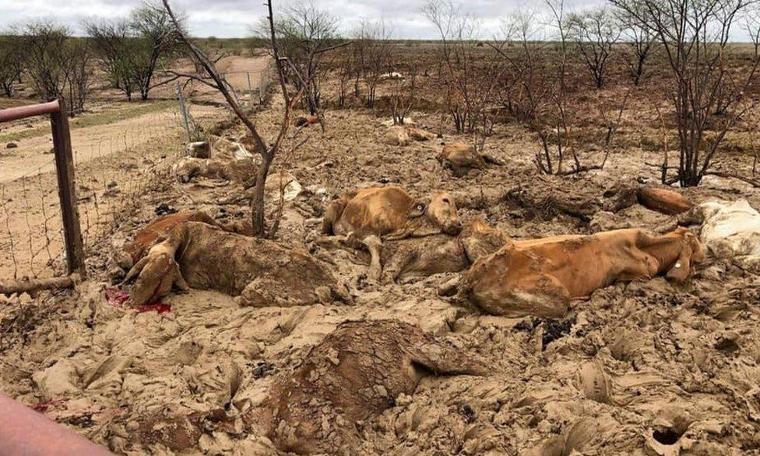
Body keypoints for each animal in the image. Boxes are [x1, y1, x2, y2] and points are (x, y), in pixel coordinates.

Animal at [320, 186, 464, 280]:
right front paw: (374, 272)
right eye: (445, 200)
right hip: (334, 208)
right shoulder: (365, 230)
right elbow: (375, 244)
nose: (458, 224)